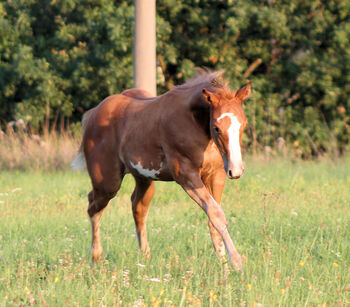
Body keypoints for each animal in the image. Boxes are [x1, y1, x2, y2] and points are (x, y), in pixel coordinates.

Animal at [72, 71, 250, 270]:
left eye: (244, 123)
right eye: (217, 128)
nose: (236, 170)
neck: (193, 121)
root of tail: (93, 114)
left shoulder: (216, 174)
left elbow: (215, 216)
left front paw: (223, 265)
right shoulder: (186, 174)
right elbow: (216, 213)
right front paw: (235, 261)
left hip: (143, 178)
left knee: (137, 207)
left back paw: (145, 258)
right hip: (108, 182)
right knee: (93, 206)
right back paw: (96, 257)